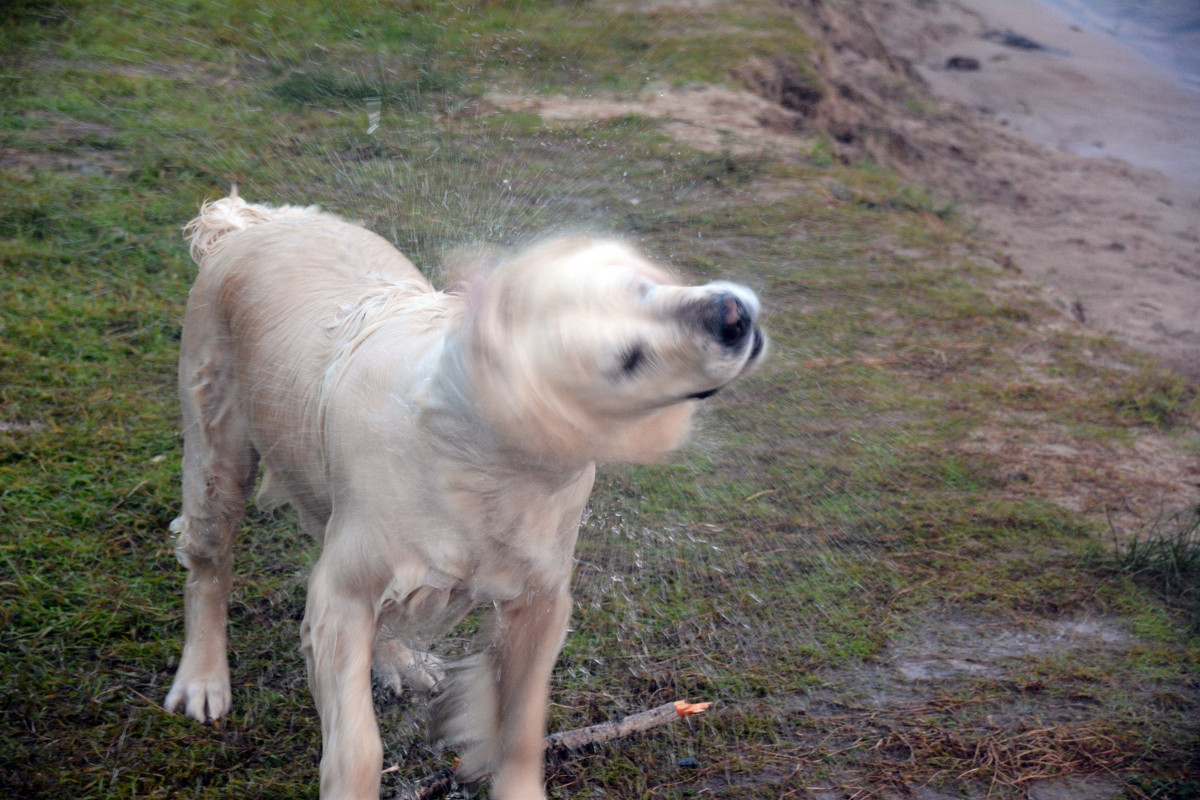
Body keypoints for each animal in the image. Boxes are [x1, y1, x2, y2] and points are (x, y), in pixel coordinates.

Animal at [164, 190, 763, 796]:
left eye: (642, 287)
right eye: (629, 358)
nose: (732, 314)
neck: (480, 452)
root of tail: (250, 222)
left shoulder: (541, 595)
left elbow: (520, 724)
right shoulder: (346, 592)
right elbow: (357, 743)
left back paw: (397, 657)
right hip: (218, 446)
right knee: (209, 562)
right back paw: (203, 680)